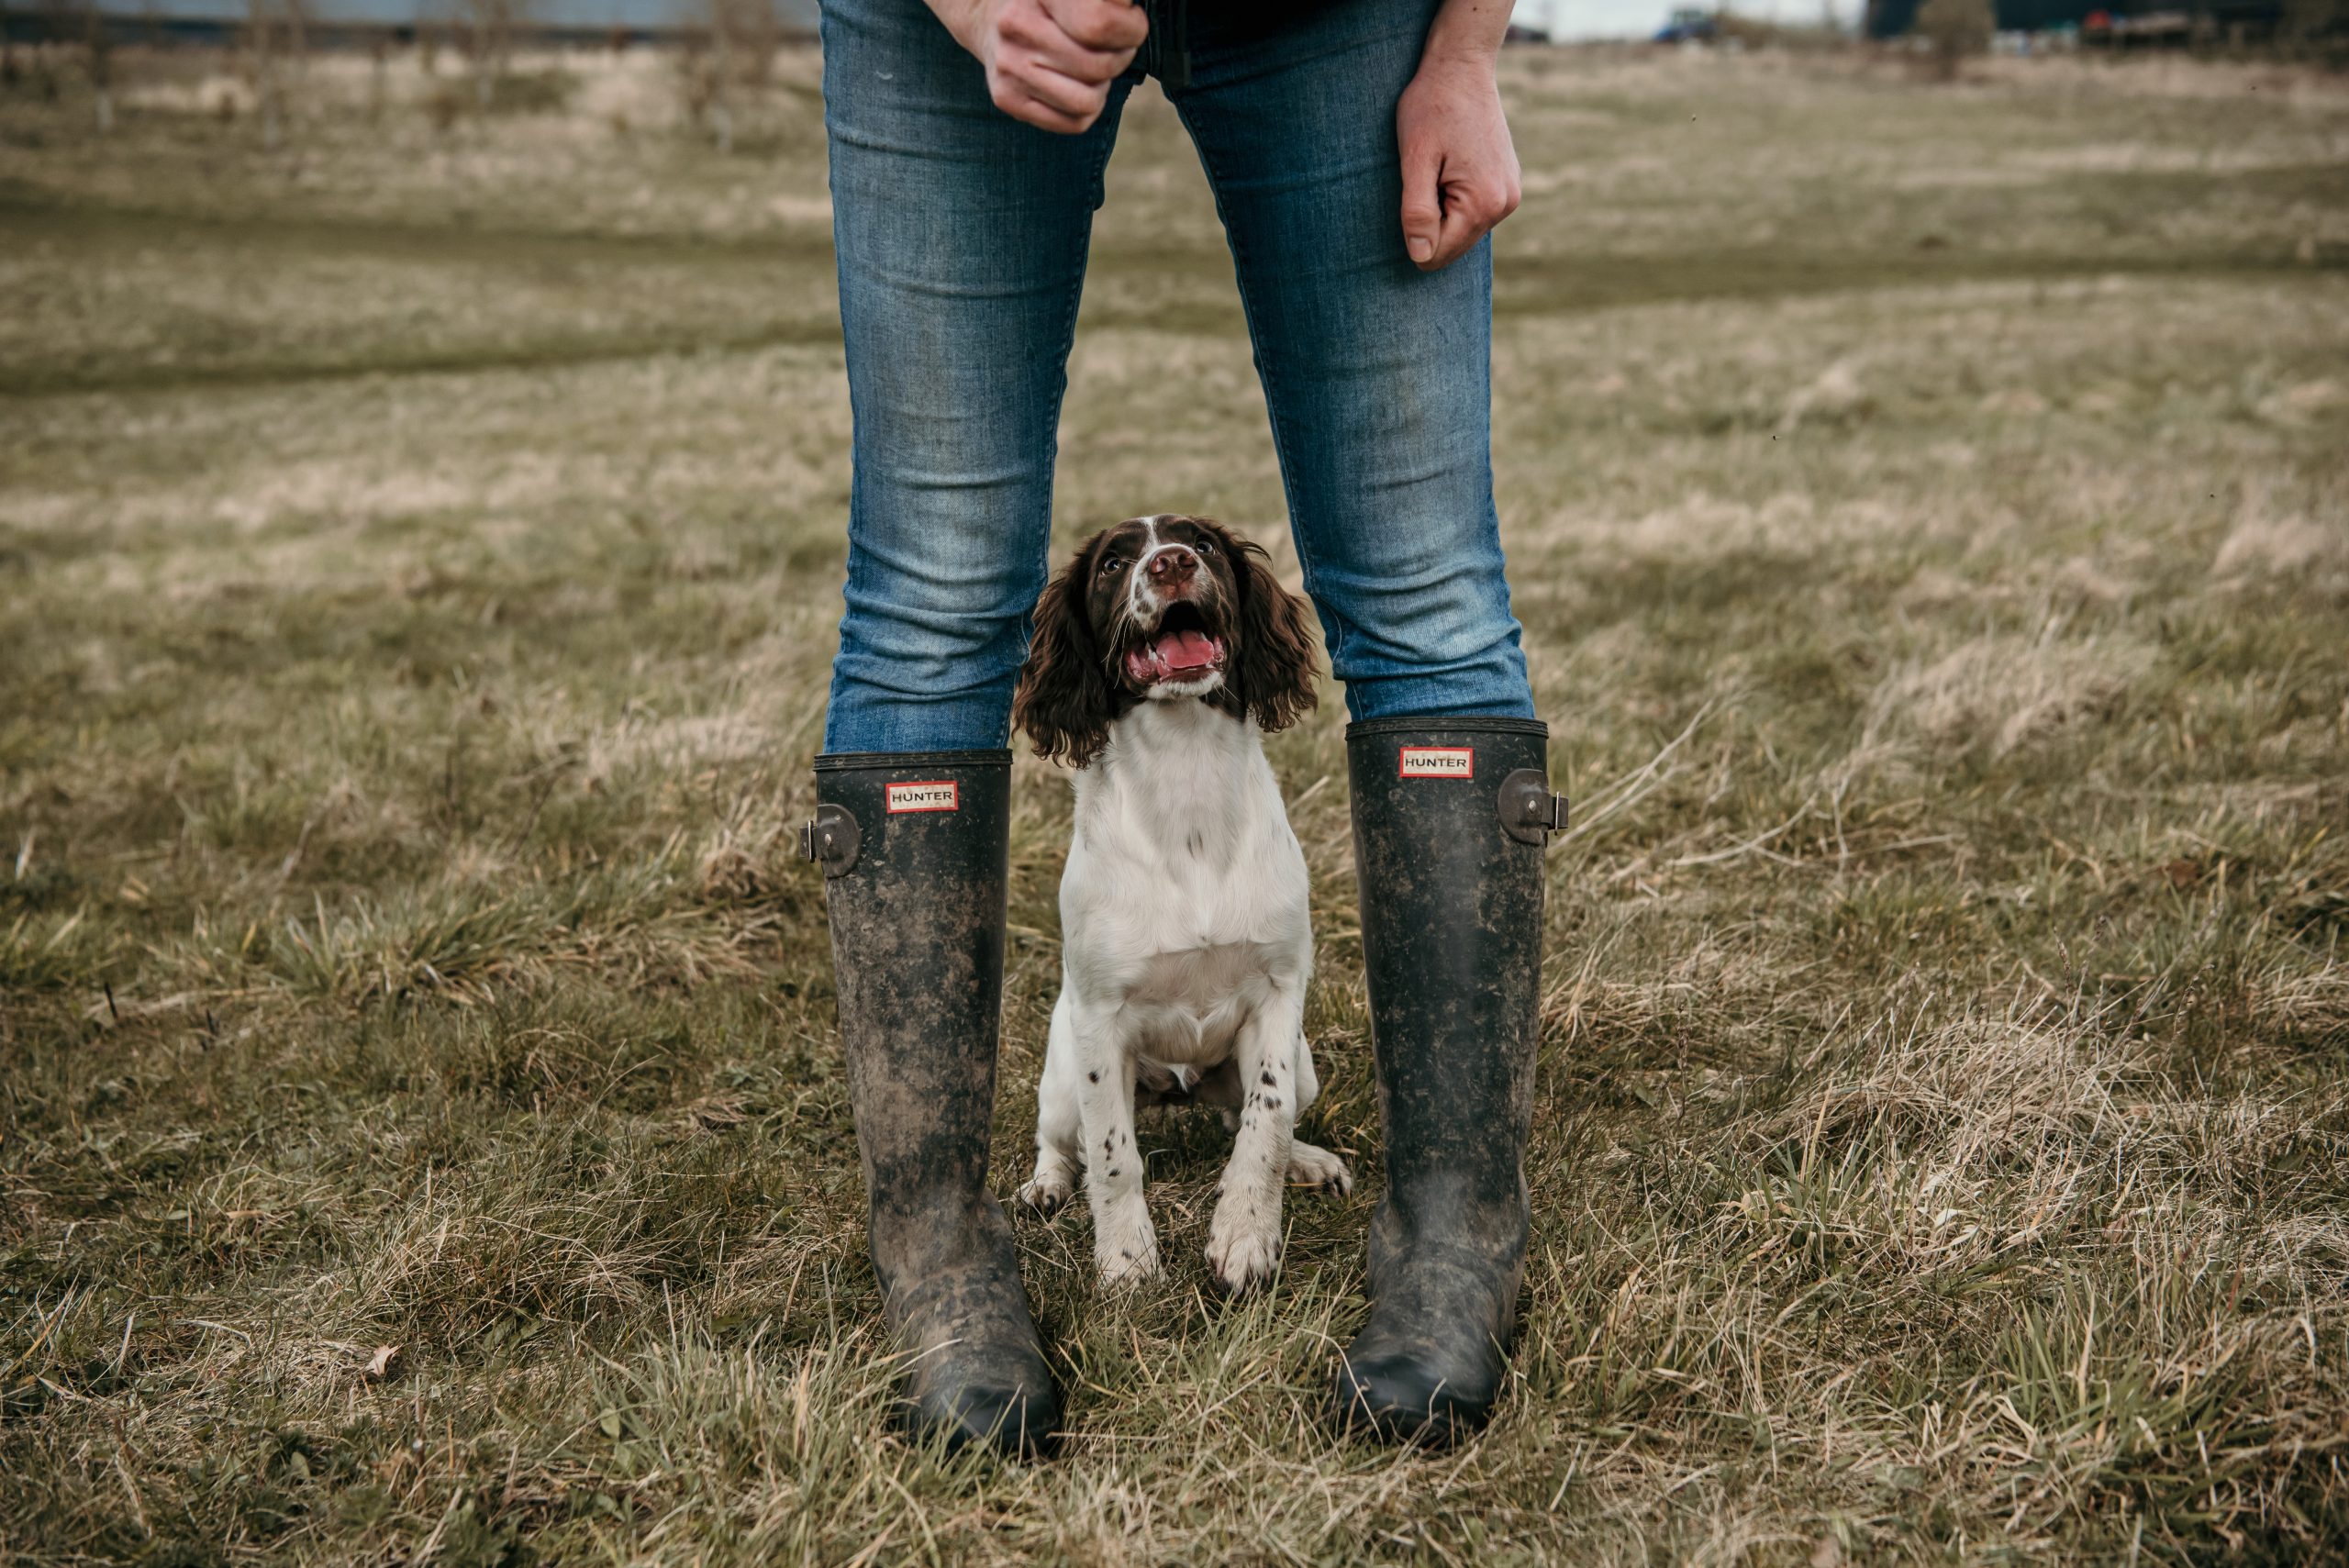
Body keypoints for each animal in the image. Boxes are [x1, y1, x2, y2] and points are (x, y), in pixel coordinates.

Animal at [1009, 520, 1362, 1296]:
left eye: (1201, 543)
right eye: (1114, 562)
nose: (1170, 563)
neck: (1186, 772)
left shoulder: (1280, 991)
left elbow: (1265, 1121)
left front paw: (1245, 1235)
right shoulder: (1099, 1017)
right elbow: (1113, 1155)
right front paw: (1127, 1260)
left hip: (1305, 1061)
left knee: (1247, 1117)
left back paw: (1310, 1161)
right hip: (1061, 1070)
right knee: (1061, 1140)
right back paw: (1045, 1186)